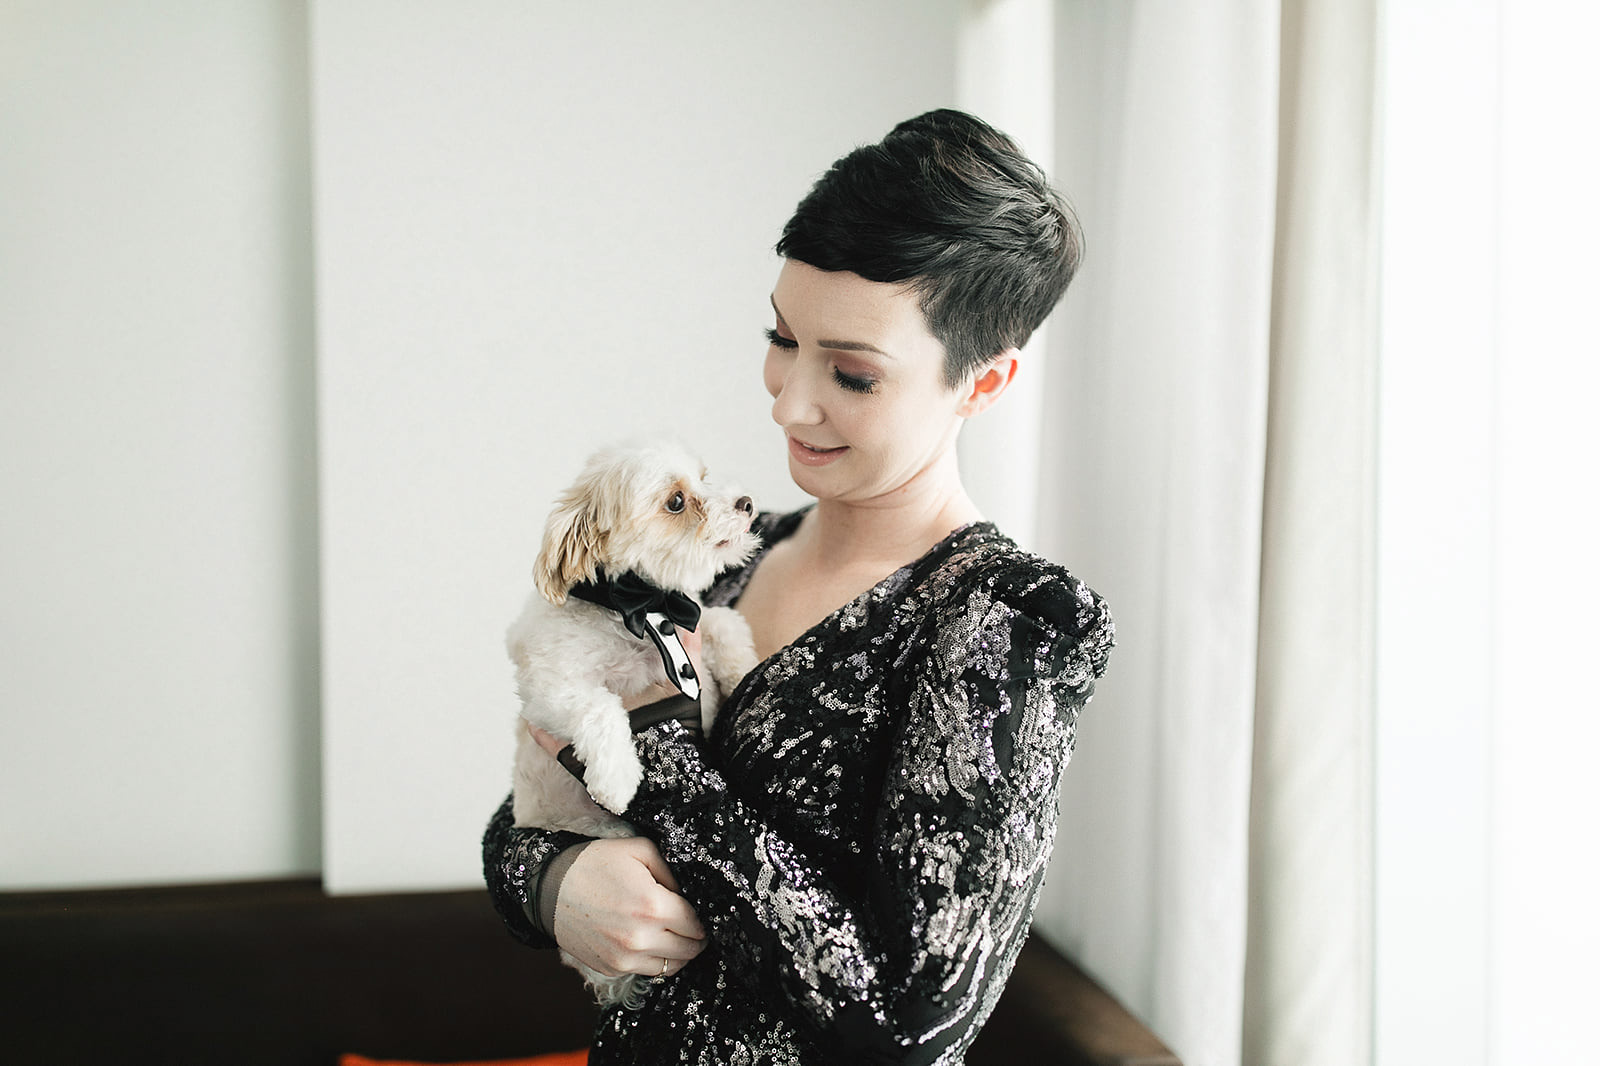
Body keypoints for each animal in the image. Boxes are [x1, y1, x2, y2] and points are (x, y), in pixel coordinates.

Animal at [512, 441, 761, 1005]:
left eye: (705, 476)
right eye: (676, 502)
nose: (746, 502)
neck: (643, 615)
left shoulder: (698, 627)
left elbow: (725, 623)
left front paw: (743, 673)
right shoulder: (548, 688)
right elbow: (600, 707)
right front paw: (617, 776)